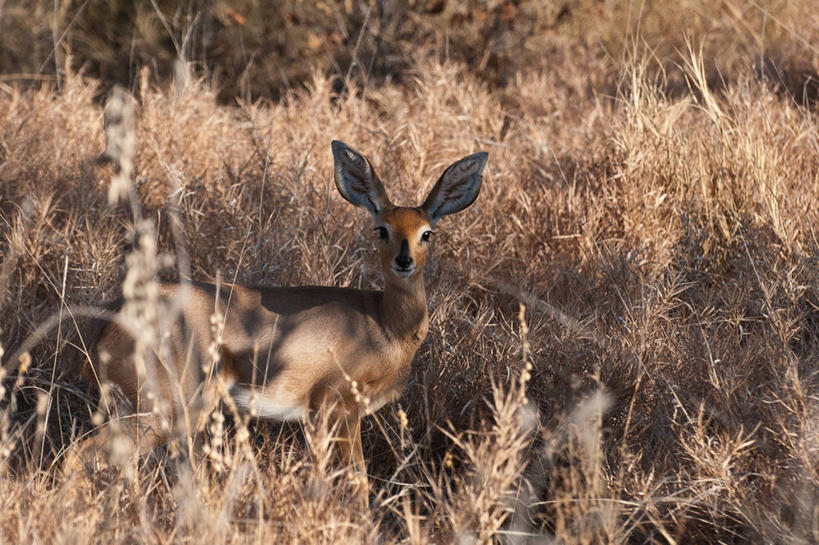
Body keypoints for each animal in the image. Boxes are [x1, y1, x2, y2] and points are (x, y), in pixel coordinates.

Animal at [87, 140, 490, 472]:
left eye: (427, 232)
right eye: (382, 229)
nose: (403, 262)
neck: (383, 323)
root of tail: (110, 320)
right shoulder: (333, 406)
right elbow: (354, 477)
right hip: (164, 408)